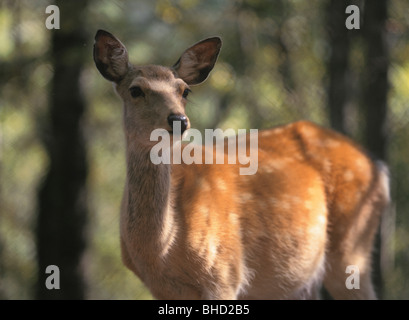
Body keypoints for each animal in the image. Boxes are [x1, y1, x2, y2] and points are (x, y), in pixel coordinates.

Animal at [92, 30, 388, 300]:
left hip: (353, 246)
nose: (179, 120)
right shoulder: (162, 288)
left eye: (184, 90)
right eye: (135, 90)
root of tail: (378, 166)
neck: (161, 248)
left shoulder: (226, 272)